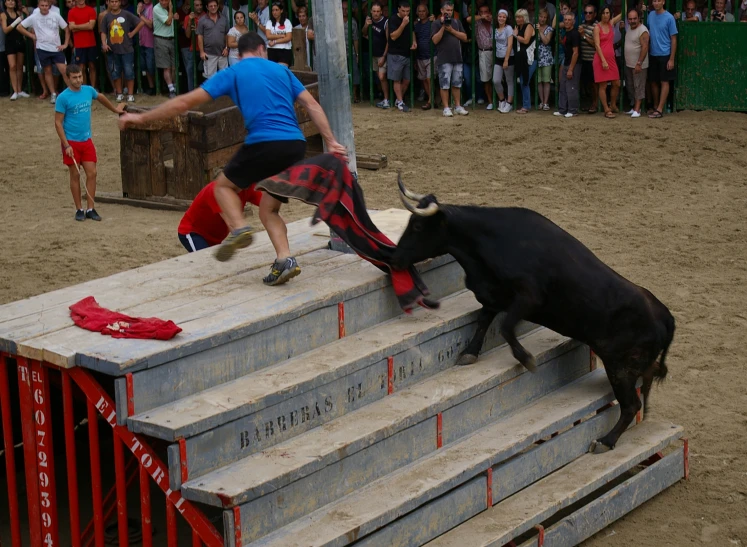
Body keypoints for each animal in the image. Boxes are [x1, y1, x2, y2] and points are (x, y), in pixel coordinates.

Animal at [394, 177, 676, 454]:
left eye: (417, 226)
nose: (395, 257)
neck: (487, 240)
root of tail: (666, 317)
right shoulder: (494, 293)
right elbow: (484, 321)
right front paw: (469, 352)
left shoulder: (528, 298)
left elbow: (506, 327)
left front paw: (526, 359)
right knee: (645, 388)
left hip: (620, 367)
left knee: (631, 406)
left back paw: (605, 441)